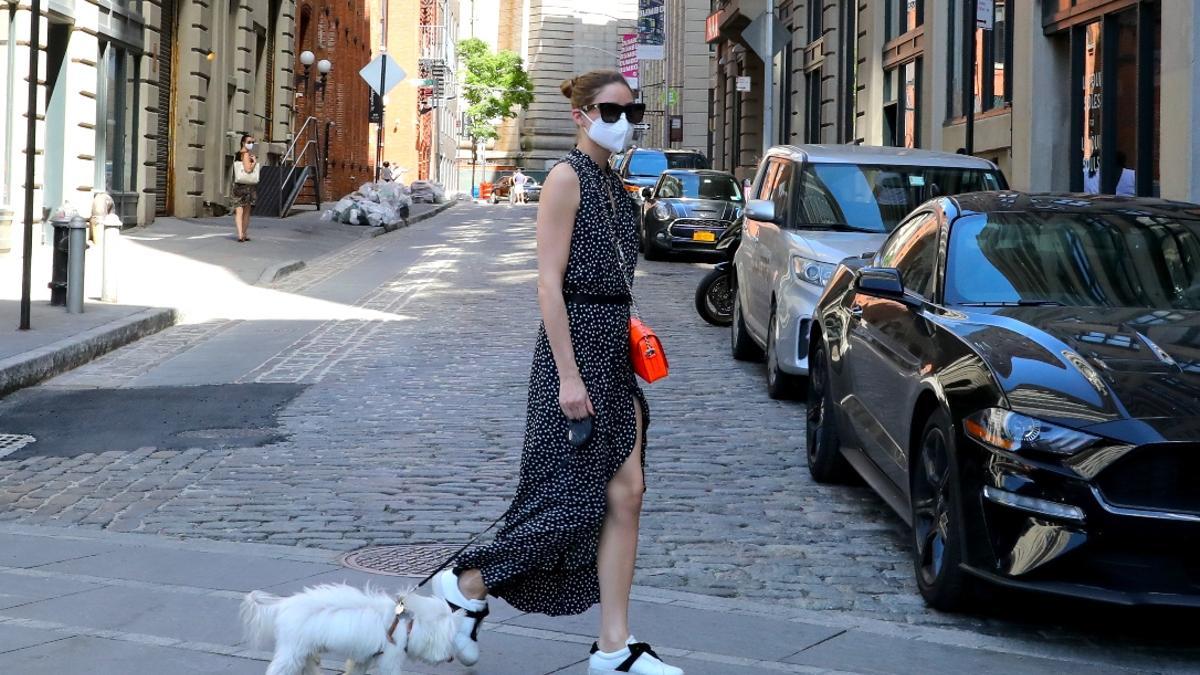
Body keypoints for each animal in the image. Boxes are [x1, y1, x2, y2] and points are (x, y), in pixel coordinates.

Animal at [242, 581, 463, 667]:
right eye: (448, 642)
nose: (451, 658)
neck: (407, 626)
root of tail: (283, 604)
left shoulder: (363, 659)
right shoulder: (390, 659)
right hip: (292, 650)